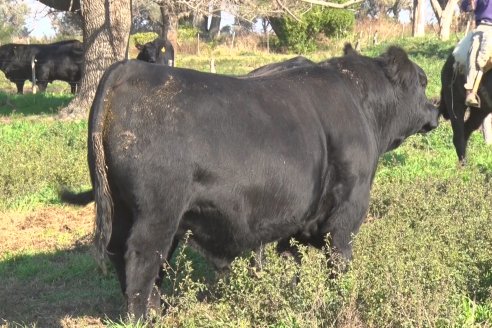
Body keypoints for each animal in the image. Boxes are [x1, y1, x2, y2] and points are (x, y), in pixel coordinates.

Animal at [60, 44, 438, 320]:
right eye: (423, 81)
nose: (436, 110)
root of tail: (130, 69)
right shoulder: (348, 211)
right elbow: (339, 262)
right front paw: (339, 300)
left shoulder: (292, 220)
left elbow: (291, 262)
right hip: (156, 214)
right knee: (142, 261)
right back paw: (145, 316)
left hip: (123, 209)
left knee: (124, 257)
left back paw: (159, 309)